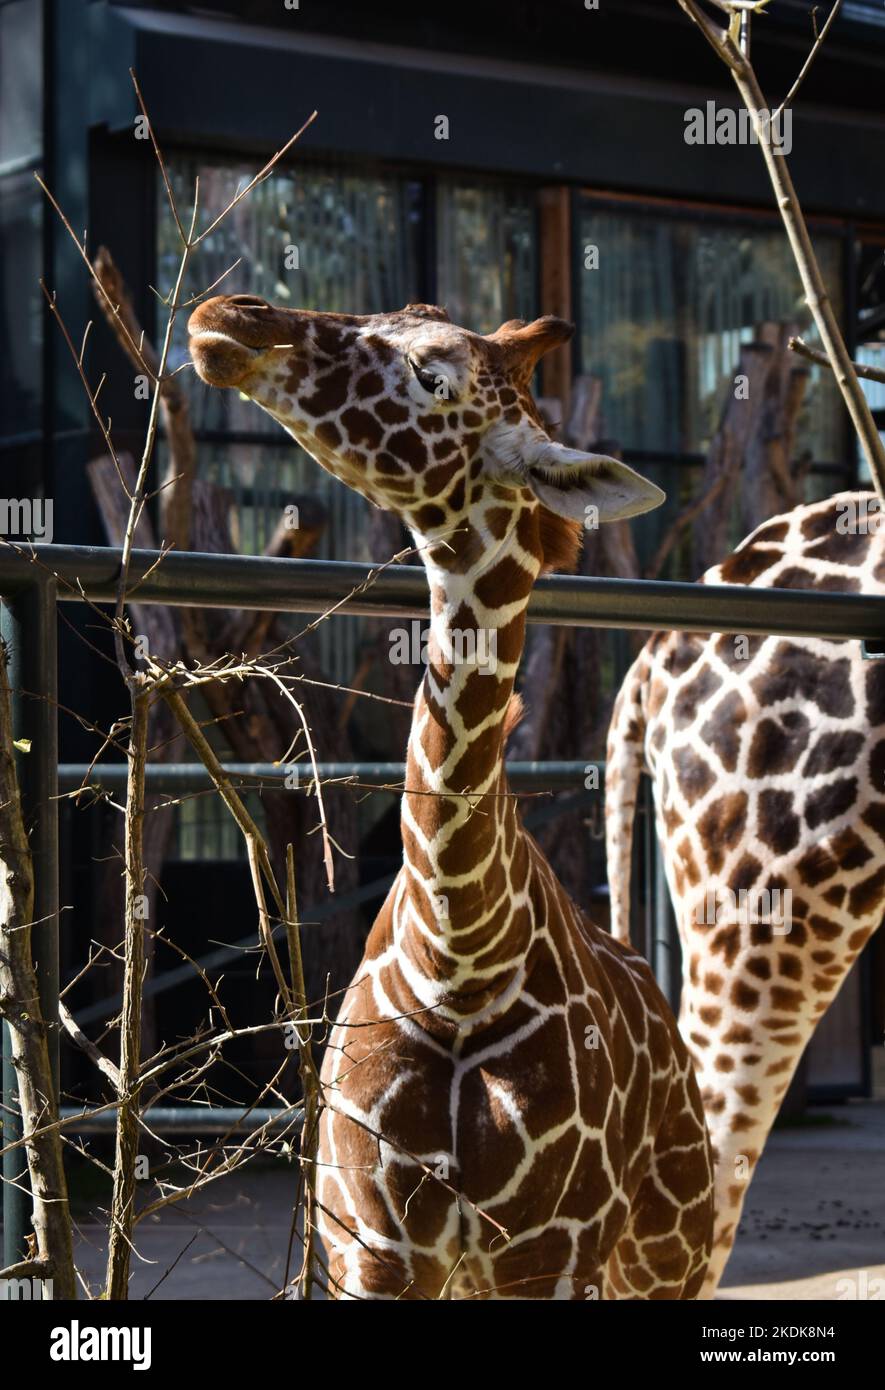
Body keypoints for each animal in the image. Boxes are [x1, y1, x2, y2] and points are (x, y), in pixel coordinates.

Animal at [190, 296, 716, 1301]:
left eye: (432, 374)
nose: (231, 315)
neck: (458, 961)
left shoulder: (548, 1252)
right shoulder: (371, 1249)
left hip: (669, 1252)